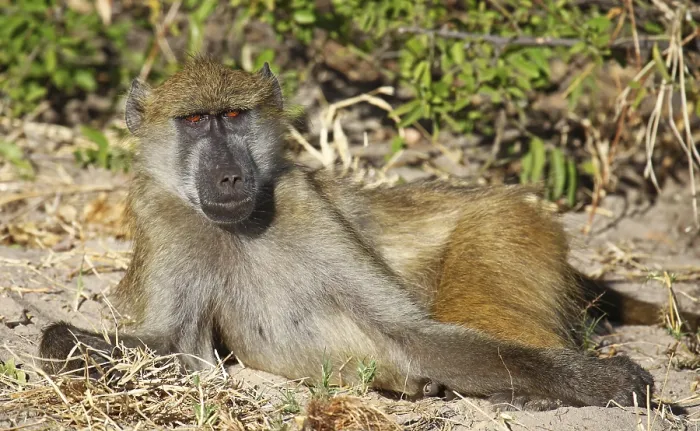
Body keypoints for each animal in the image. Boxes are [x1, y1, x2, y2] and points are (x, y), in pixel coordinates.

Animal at [39, 58, 657, 411]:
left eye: (234, 116)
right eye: (194, 121)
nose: (229, 176)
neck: (238, 229)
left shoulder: (303, 205)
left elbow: (413, 334)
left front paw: (600, 382)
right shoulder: (166, 220)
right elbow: (174, 353)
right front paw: (65, 343)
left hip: (505, 225)